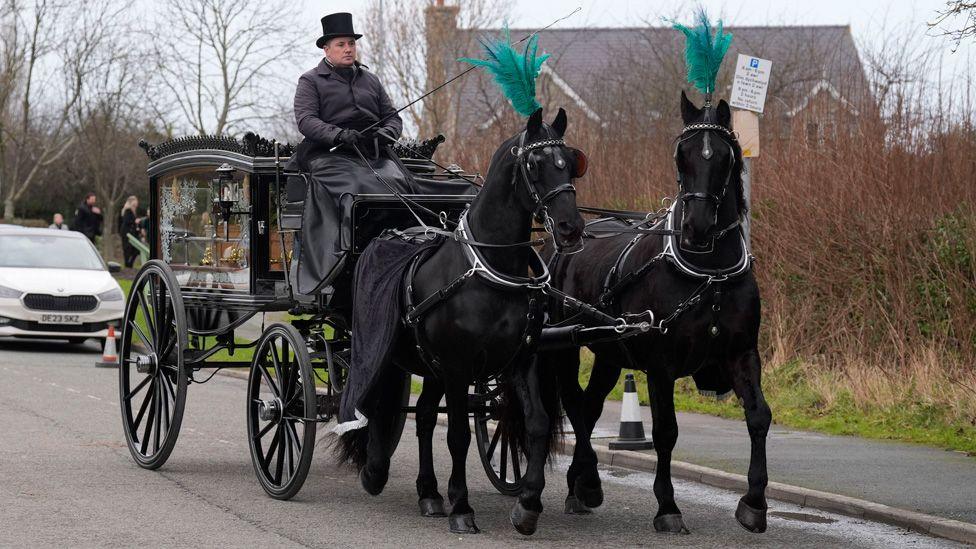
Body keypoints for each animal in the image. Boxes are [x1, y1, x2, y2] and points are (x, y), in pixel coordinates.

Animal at [340, 108, 588, 536]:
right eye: (534, 164)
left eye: (570, 163)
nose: (571, 227)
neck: (489, 272)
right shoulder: (458, 366)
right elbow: (457, 435)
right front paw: (462, 507)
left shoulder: (520, 358)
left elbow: (537, 424)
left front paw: (527, 504)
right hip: (383, 346)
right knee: (373, 399)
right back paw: (375, 471)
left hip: (428, 364)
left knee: (423, 416)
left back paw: (428, 493)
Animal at [540, 92, 772, 532]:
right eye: (681, 155)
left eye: (725, 156)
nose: (697, 227)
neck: (709, 272)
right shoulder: (661, 365)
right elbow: (665, 431)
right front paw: (667, 506)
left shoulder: (742, 353)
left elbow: (758, 417)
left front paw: (754, 502)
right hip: (562, 345)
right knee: (576, 405)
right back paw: (587, 481)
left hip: (609, 351)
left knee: (589, 407)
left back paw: (580, 485)